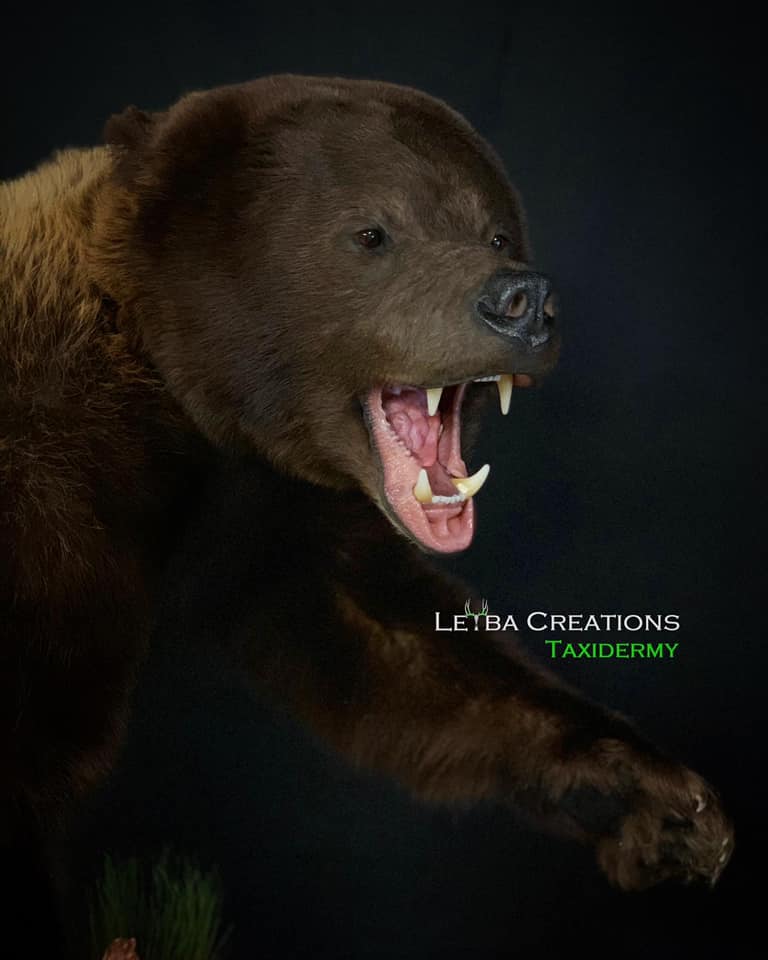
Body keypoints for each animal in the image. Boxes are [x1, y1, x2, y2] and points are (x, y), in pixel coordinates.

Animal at [0, 74, 732, 894]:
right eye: (373, 233)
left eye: (497, 233)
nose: (522, 302)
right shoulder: (56, 513)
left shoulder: (271, 511)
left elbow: (394, 646)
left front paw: (666, 805)